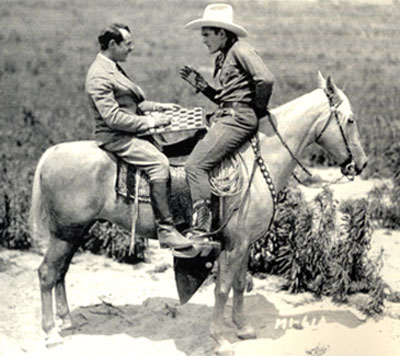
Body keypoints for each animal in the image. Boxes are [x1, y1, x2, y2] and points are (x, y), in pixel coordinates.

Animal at [29, 73, 368, 354]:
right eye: (350, 120)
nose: (362, 163)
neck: (257, 161)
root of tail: (52, 153)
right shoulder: (235, 244)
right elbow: (222, 289)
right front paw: (220, 340)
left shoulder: (244, 243)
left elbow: (239, 284)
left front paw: (242, 329)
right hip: (65, 232)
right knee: (47, 273)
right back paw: (51, 333)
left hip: (76, 230)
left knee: (61, 272)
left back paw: (66, 320)